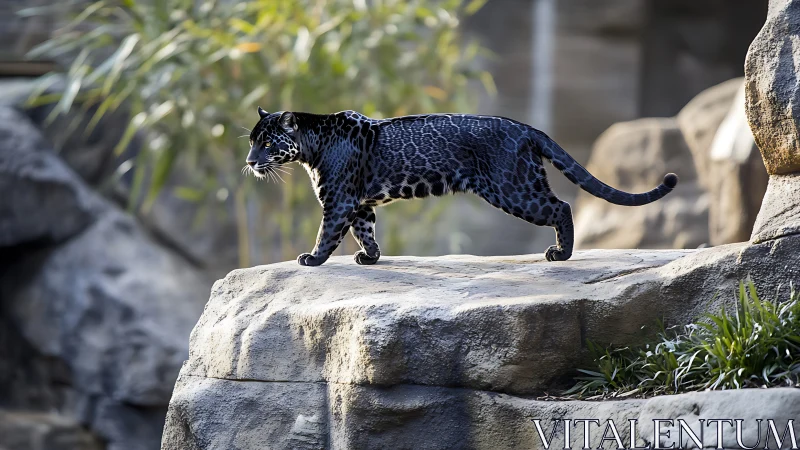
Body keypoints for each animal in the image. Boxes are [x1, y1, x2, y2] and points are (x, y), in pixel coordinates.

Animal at [245, 107, 678, 267]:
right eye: (252, 141)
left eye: (266, 143)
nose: (249, 161)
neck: (311, 143)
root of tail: (527, 128)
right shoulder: (360, 203)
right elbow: (364, 230)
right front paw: (371, 257)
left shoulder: (337, 200)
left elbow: (329, 233)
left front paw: (312, 259)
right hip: (523, 182)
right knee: (559, 205)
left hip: (513, 188)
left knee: (561, 207)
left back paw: (561, 254)